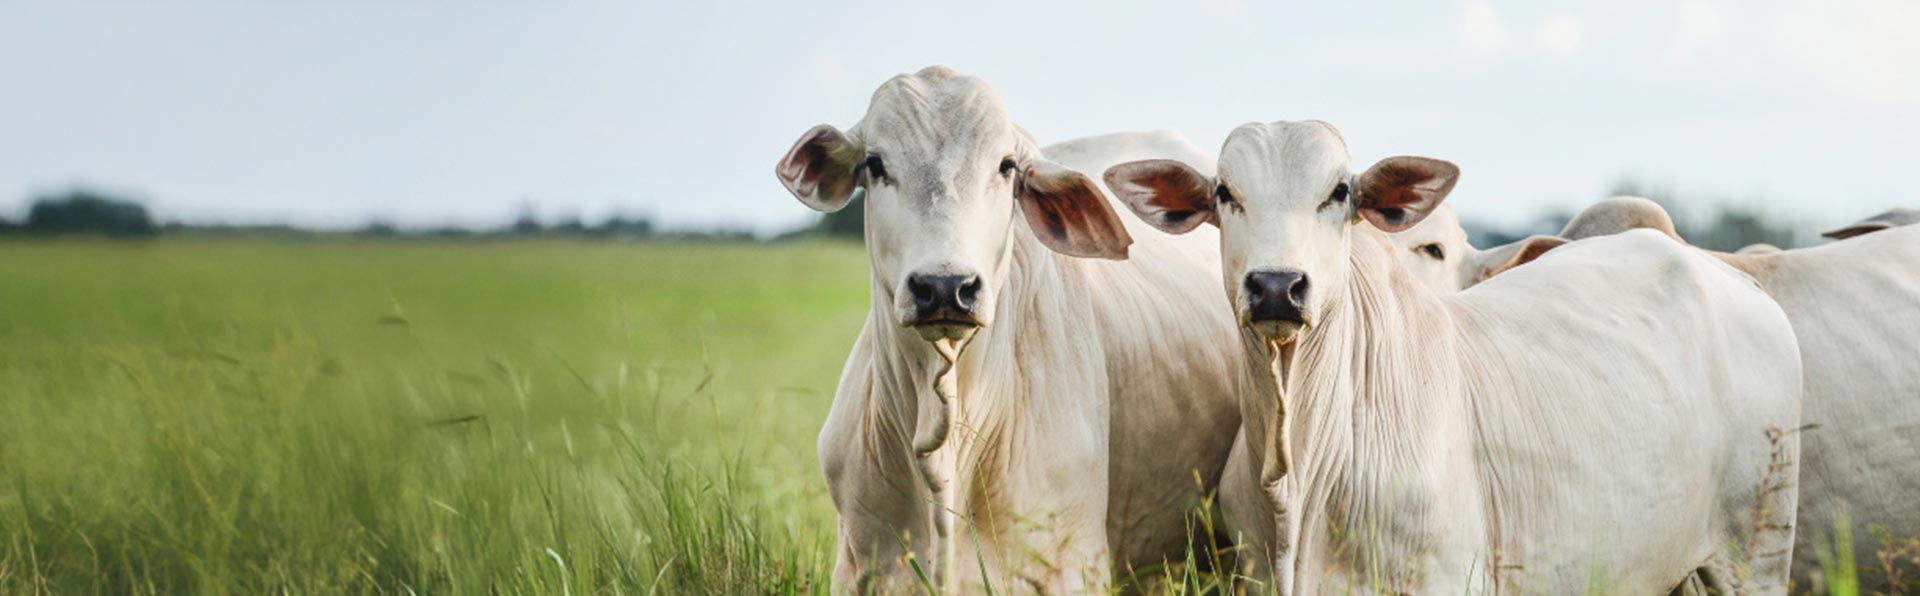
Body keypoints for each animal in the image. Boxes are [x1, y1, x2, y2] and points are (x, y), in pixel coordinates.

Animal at [1105, 121, 1804, 596]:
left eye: (1340, 191)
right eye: (1225, 192)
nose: (1277, 285)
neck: (1296, 469)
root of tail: (1726, 275)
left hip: (1756, 554)